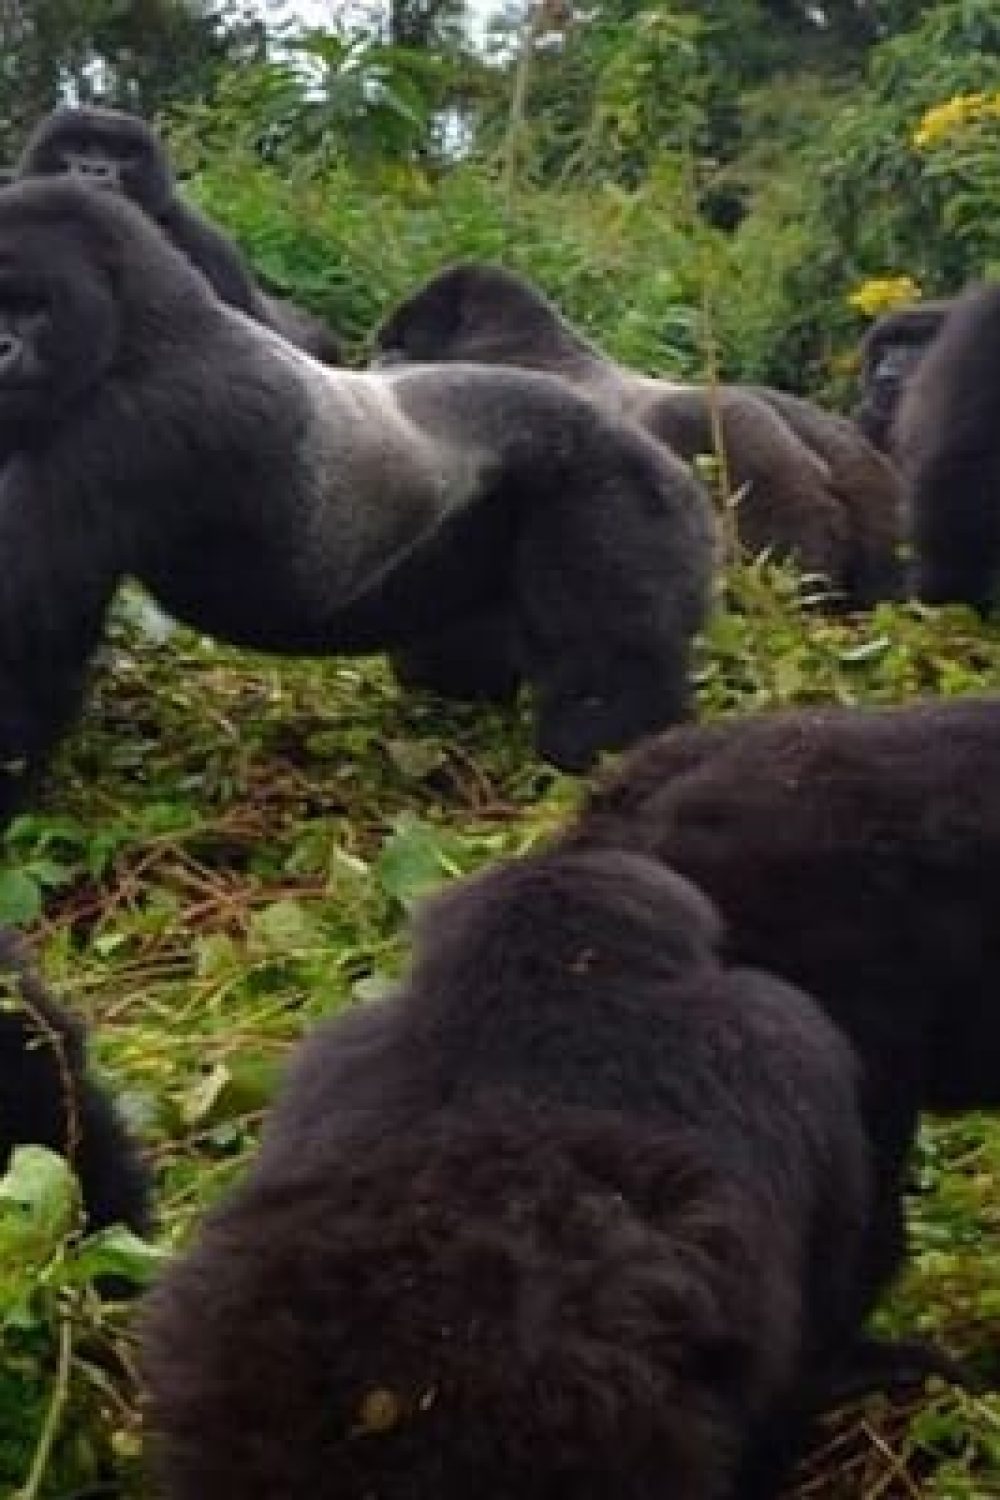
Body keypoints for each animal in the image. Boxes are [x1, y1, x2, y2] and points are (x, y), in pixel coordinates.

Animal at [0, 175, 714, 813]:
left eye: (30, 306)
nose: (2, 349)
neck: (146, 324)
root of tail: (670, 464)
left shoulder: (137, 425)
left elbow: (27, 645)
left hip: (614, 491)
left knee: (605, 685)